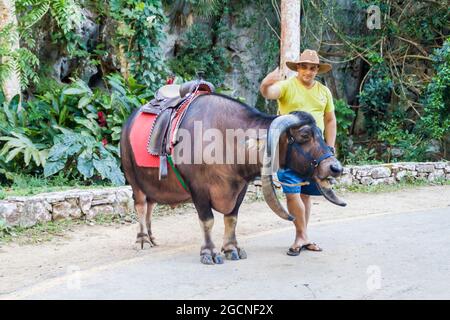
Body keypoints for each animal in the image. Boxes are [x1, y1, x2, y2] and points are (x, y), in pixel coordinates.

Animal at [119, 92, 344, 264]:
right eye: (305, 135)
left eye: (320, 133)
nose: (335, 167)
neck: (224, 140)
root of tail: (128, 122)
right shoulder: (198, 189)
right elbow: (207, 221)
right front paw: (209, 253)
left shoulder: (240, 187)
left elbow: (231, 219)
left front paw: (231, 249)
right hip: (133, 178)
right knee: (141, 206)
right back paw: (142, 240)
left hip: (152, 183)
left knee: (150, 206)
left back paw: (151, 238)